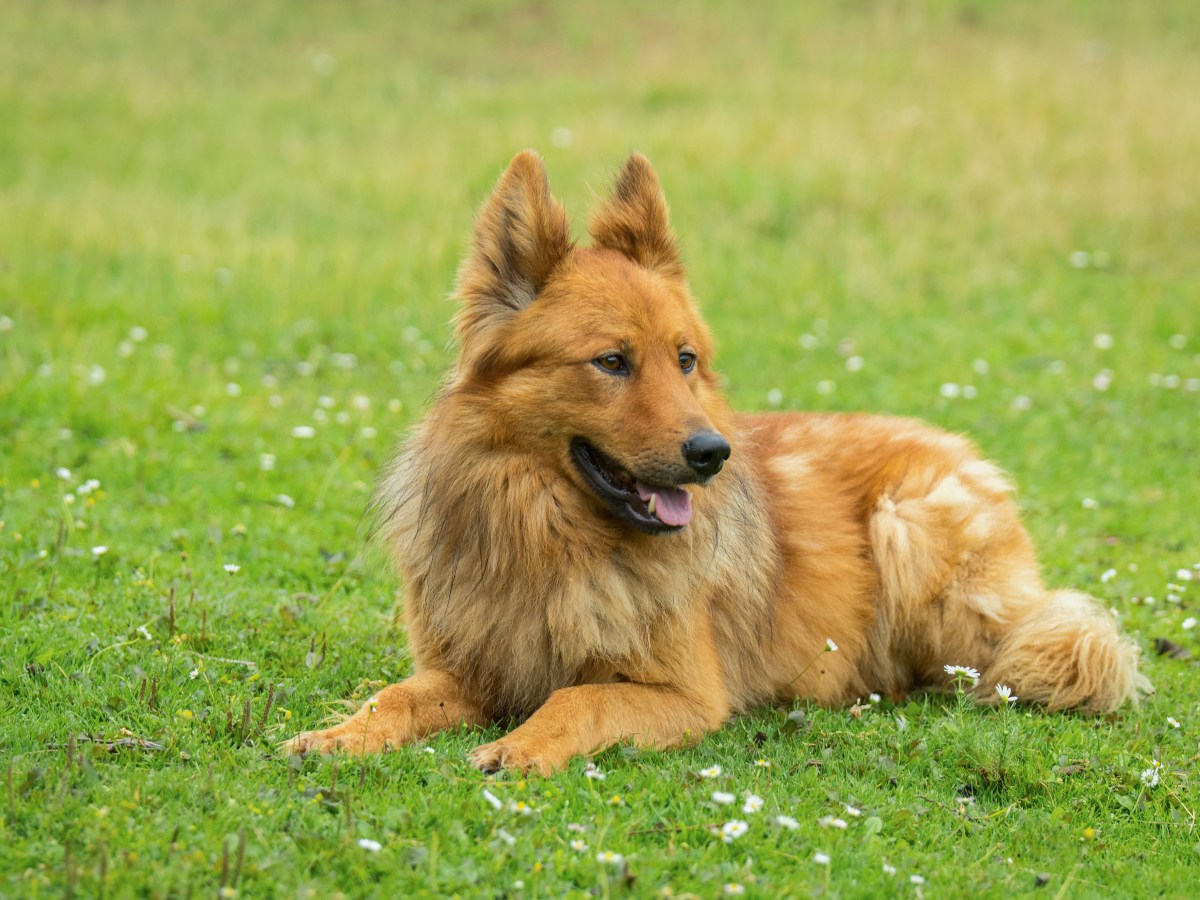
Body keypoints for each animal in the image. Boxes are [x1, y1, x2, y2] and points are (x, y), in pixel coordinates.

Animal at [283, 151, 1152, 772]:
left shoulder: (683, 692)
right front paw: (339, 734)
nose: (712, 454)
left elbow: (577, 700)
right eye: (611, 362)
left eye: (686, 359)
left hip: (911, 532)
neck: (553, 538)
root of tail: (963, 449)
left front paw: (521, 745)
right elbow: (394, 698)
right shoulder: (465, 669)